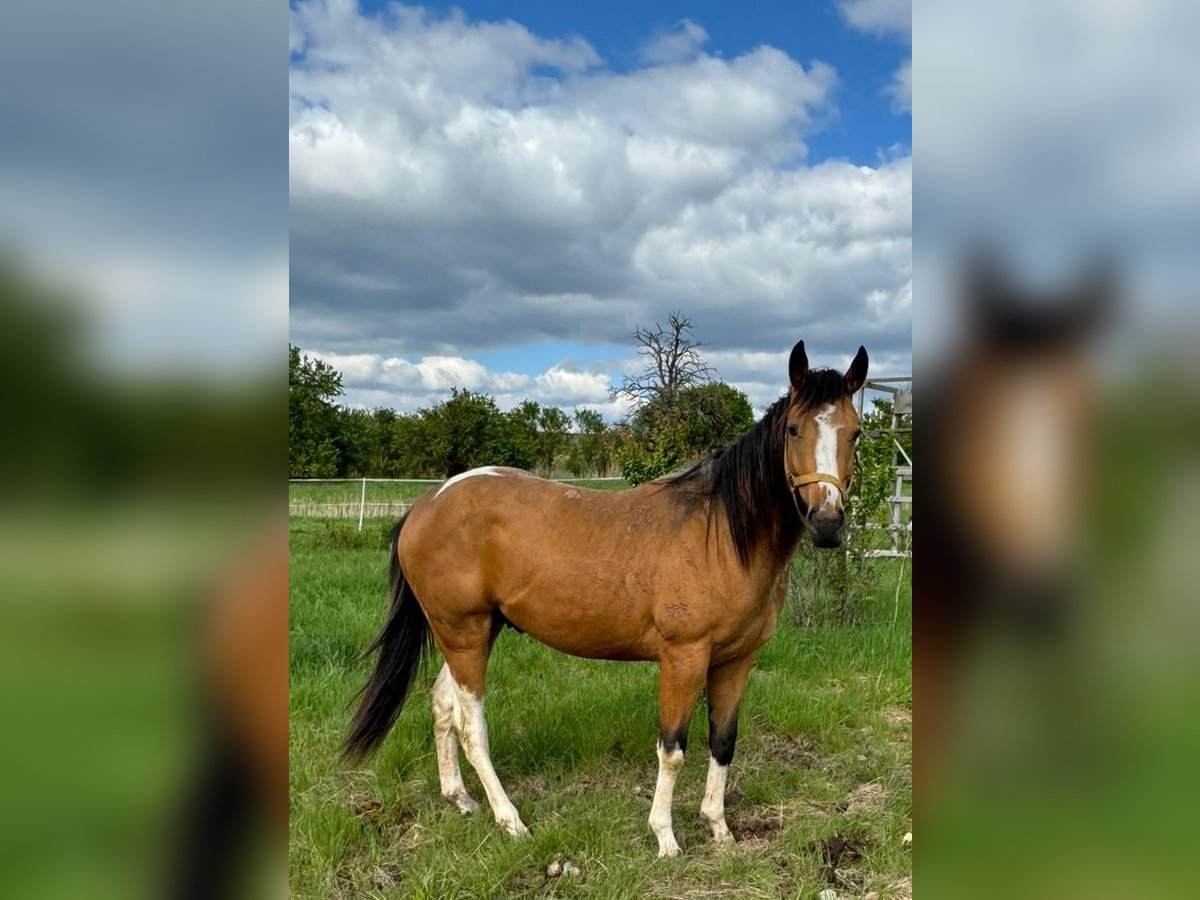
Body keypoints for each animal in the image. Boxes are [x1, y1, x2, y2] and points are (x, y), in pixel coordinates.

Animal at [343, 340, 868, 859]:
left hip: (473, 631)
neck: (720, 533)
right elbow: (672, 750)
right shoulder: (684, 658)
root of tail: (426, 505)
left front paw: (719, 829)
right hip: (464, 631)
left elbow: (723, 742)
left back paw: (461, 799)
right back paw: (510, 820)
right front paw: (665, 837)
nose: (826, 522)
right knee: (472, 729)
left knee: (442, 705)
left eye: (856, 433)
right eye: (795, 429)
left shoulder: (736, 660)